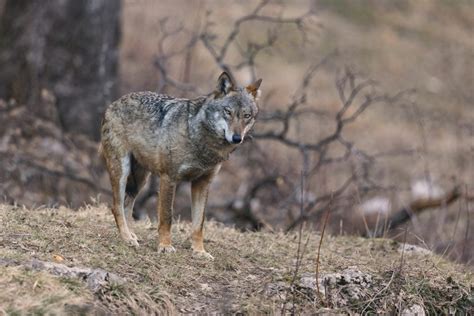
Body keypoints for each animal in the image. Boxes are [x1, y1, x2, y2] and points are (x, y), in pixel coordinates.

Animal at [101, 72, 262, 260]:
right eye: (228, 112)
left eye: (247, 116)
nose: (237, 138)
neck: (201, 141)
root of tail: (114, 102)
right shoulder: (168, 178)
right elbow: (166, 217)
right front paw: (164, 246)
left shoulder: (203, 183)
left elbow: (199, 224)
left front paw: (199, 252)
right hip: (122, 172)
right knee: (116, 206)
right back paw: (127, 239)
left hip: (140, 181)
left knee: (127, 205)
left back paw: (131, 236)